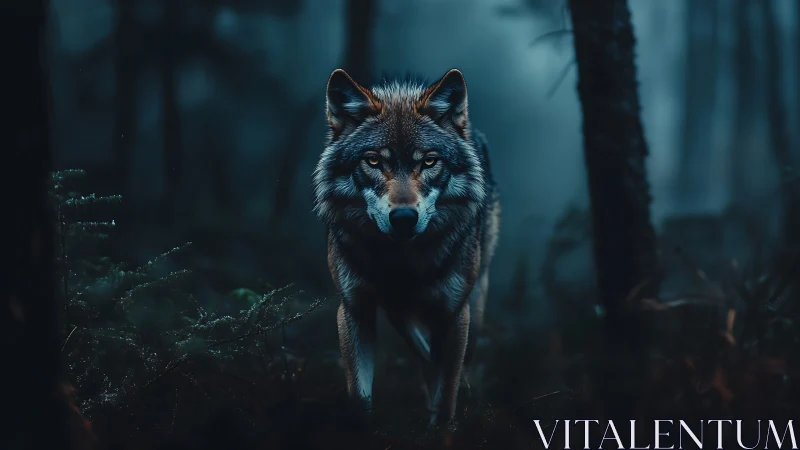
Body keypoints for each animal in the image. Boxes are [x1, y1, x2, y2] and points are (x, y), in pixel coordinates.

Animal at [312, 68, 500, 425]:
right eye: (373, 161)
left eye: (429, 162)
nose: (403, 218)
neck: (402, 262)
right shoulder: (354, 310)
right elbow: (359, 397)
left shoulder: (455, 315)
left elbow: (446, 400)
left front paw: (441, 427)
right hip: (398, 314)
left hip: (476, 302)